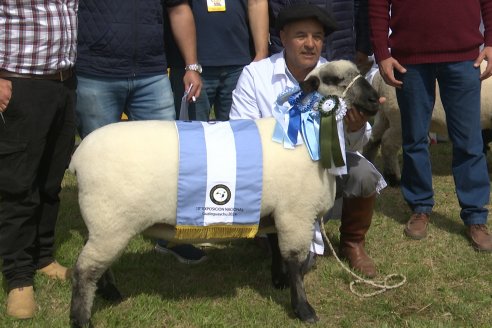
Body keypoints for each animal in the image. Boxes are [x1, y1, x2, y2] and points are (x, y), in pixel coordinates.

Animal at [67, 59, 378, 328]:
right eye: (335, 80)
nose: (375, 99)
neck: (305, 133)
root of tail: (77, 158)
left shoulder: (277, 211)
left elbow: (278, 250)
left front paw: (277, 281)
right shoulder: (296, 214)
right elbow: (294, 261)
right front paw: (303, 308)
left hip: (106, 224)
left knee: (95, 264)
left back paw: (110, 293)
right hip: (111, 220)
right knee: (84, 270)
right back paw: (81, 319)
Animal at [362, 63, 492, 187]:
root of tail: (378, 79)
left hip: (383, 115)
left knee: (373, 139)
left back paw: (370, 165)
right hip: (400, 118)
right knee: (387, 144)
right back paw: (394, 178)